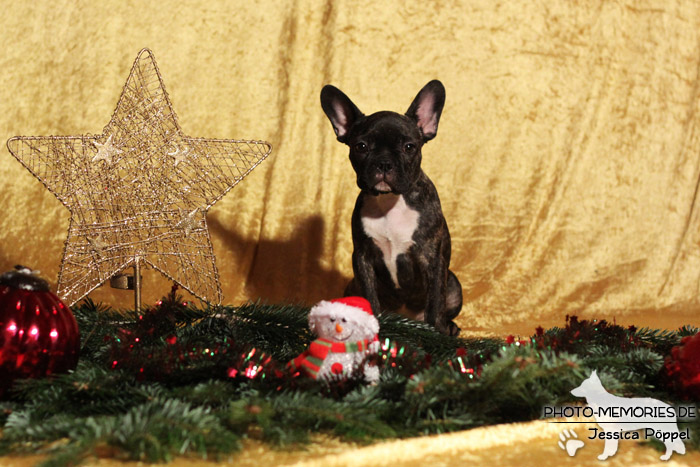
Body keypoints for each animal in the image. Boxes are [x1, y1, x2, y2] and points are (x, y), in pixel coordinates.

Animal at [320, 81, 462, 336]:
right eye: (361, 146)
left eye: (409, 147)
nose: (384, 163)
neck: (390, 202)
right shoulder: (363, 258)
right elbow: (370, 298)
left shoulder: (433, 260)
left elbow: (436, 304)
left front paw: (436, 333)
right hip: (351, 285)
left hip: (453, 283)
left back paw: (450, 328)